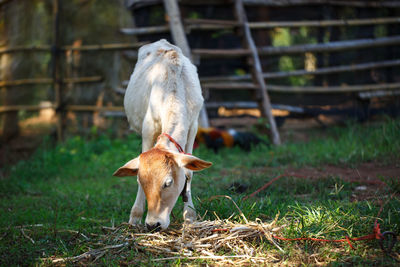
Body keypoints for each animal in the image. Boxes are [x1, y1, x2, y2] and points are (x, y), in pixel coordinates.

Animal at [113, 38, 212, 231]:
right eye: (143, 181)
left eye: (168, 183)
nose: (153, 224)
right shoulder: (148, 127)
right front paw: (135, 216)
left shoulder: (193, 126)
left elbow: (189, 172)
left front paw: (189, 215)